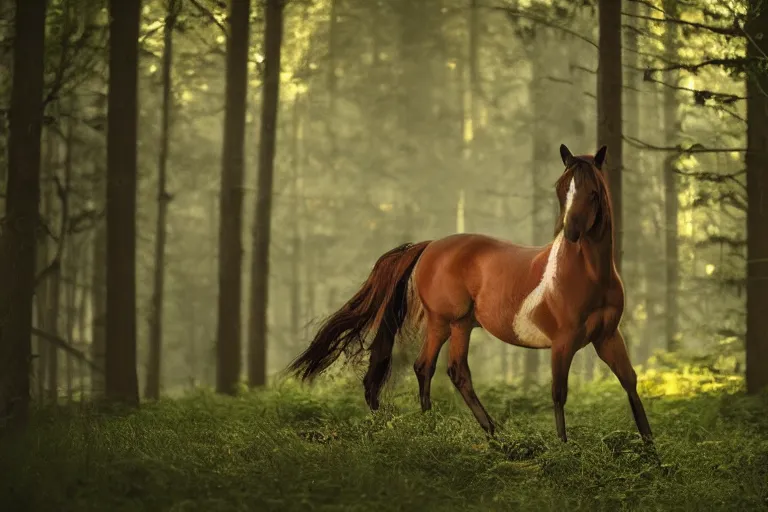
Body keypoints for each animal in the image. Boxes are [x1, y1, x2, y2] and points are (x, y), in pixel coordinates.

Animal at [288, 145, 656, 444]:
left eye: (594, 191)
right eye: (561, 188)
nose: (572, 233)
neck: (588, 273)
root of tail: (430, 246)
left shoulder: (607, 336)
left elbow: (630, 382)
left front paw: (651, 449)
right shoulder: (563, 342)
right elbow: (558, 392)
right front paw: (564, 448)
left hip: (460, 325)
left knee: (448, 370)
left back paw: (480, 431)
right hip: (446, 322)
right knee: (434, 368)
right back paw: (442, 427)